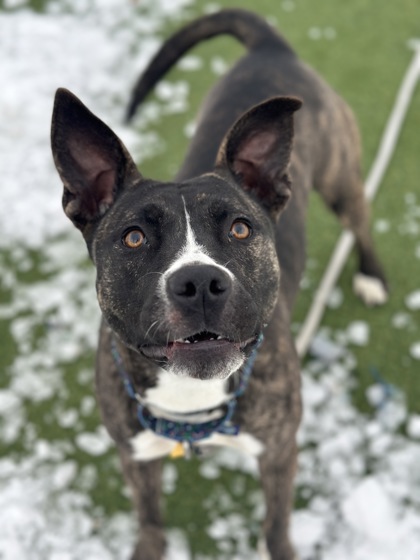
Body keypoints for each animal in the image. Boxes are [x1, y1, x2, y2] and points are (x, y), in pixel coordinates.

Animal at [51, 8, 387, 560]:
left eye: (240, 229)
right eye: (134, 237)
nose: (200, 281)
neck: (191, 398)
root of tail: (270, 47)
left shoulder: (279, 452)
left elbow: (276, 528)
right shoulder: (135, 456)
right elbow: (150, 521)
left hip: (342, 178)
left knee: (360, 221)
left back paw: (372, 276)